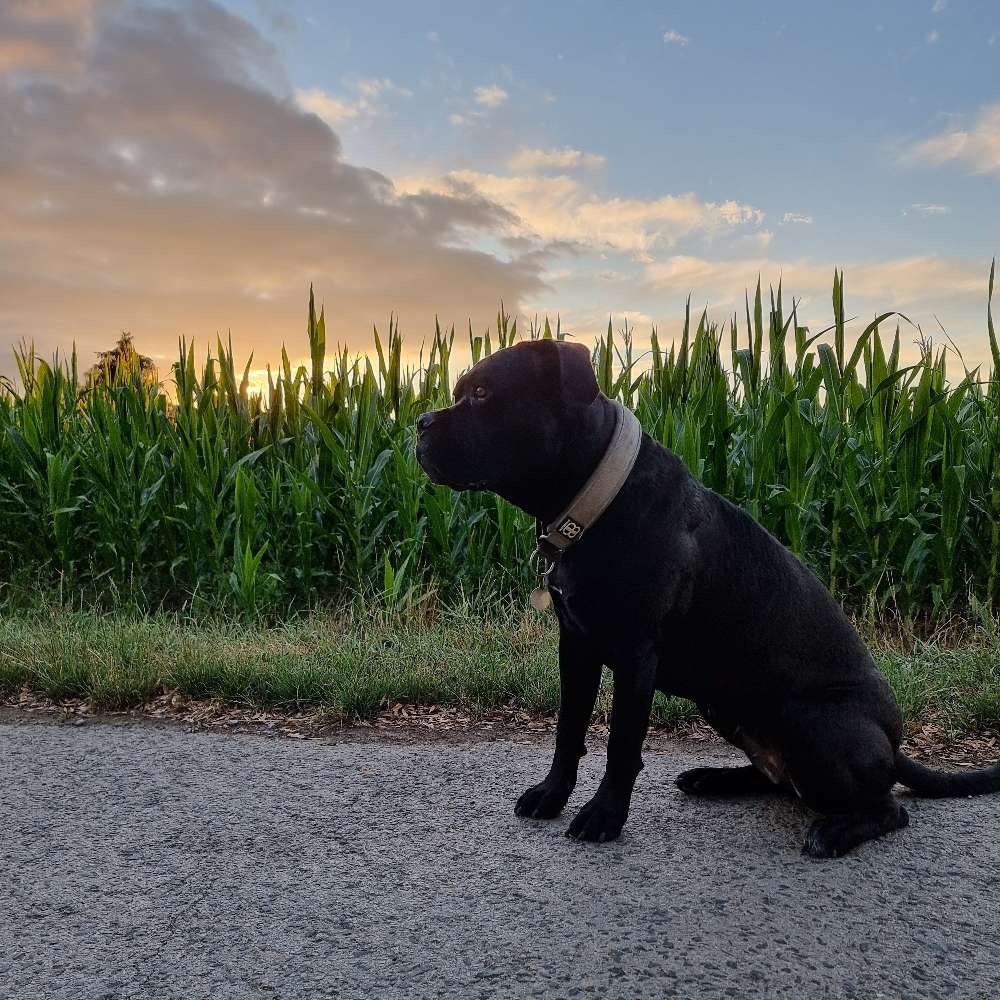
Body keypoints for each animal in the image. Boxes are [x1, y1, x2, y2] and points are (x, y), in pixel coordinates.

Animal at [416, 340, 1000, 856]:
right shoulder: (576, 646)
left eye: (483, 394)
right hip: (724, 707)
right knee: (780, 779)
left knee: (887, 808)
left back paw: (832, 833)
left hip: (812, 722)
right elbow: (569, 729)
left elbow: (622, 743)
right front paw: (551, 795)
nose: (419, 422)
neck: (596, 498)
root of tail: (894, 744)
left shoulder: (635, 654)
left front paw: (604, 816)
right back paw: (713, 778)